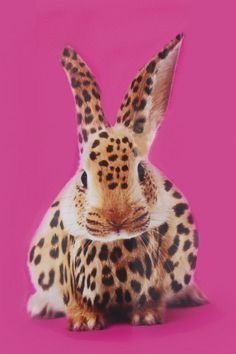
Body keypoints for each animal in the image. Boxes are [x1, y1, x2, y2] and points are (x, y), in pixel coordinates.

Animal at [27, 34, 206, 330]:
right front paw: (85, 322)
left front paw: (147, 318)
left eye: (141, 170)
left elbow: (151, 295)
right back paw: (40, 307)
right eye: (83, 177)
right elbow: (77, 299)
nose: (117, 218)